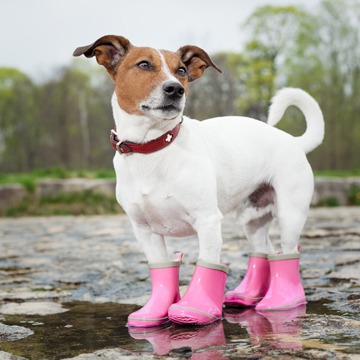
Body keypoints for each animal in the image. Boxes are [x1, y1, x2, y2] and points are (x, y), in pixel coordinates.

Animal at [73, 35, 324, 326]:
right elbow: (161, 269)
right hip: (252, 219)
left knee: (288, 253)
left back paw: (284, 301)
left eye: (181, 70)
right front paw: (154, 312)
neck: (154, 148)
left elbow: (208, 264)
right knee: (264, 251)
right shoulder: (145, 231)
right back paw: (248, 296)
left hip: (290, 214)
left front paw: (195, 309)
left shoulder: (207, 221)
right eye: (144, 64)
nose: (175, 89)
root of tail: (293, 141)